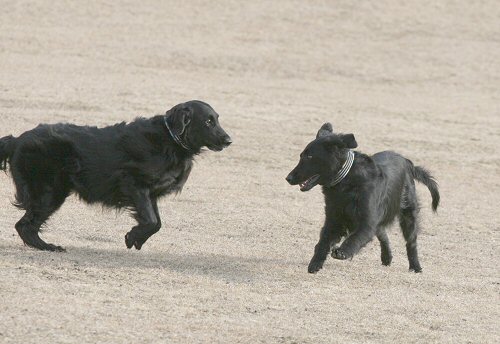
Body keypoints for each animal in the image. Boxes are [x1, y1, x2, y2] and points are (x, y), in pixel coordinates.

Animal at [0, 101, 230, 251]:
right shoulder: (133, 184)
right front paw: (132, 237)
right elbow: (151, 221)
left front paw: (137, 239)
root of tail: (17, 140)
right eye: (208, 121)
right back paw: (48, 247)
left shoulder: (151, 194)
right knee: (24, 226)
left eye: (217, 119)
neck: (170, 140)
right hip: (49, 193)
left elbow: (156, 222)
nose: (229, 140)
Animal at [288, 122, 440, 272]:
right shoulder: (333, 219)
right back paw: (387, 258)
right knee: (383, 234)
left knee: (411, 242)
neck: (346, 180)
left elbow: (356, 238)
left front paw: (342, 252)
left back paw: (415, 266)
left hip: (408, 214)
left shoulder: (367, 221)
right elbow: (323, 241)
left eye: (309, 157)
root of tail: (407, 162)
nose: (288, 178)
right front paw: (315, 263)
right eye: (301, 155)